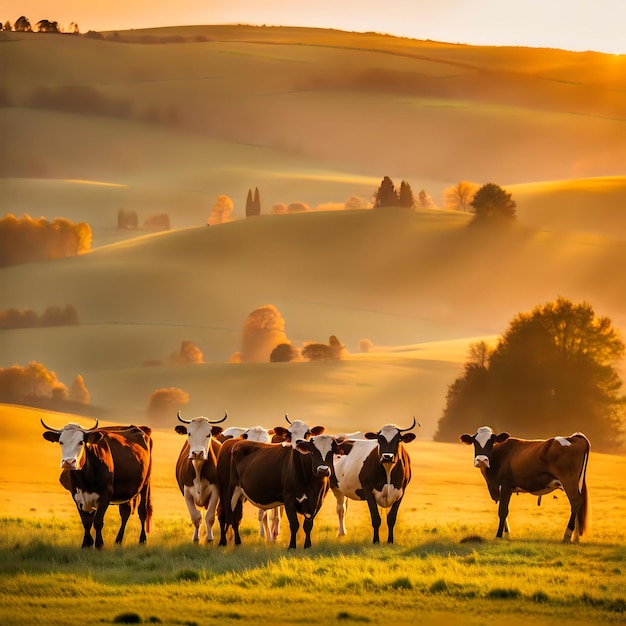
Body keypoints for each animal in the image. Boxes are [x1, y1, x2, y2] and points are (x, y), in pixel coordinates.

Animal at [173, 410, 227, 540]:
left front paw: (209, 538)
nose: (197, 453)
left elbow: (209, 516)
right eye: (189, 433)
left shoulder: (215, 490)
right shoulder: (186, 491)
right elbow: (195, 516)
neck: (198, 469)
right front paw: (196, 538)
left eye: (208, 434)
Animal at [332, 416, 414, 544]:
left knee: (342, 508)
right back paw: (341, 533)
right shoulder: (368, 490)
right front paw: (376, 541)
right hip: (335, 486)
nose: (387, 457)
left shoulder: (400, 492)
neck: (388, 471)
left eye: (398, 440)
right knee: (340, 509)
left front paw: (390, 541)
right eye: (379, 440)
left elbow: (391, 518)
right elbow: (376, 518)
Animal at [456, 424, 588, 540]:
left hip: (568, 481)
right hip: (577, 483)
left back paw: (567, 536)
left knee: (576, 502)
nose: (481, 460)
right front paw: (507, 534)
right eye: (475, 442)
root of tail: (574, 437)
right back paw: (576, 538)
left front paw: (498, 536)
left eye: (492, 441)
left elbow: (502, 511)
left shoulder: (506, 485)